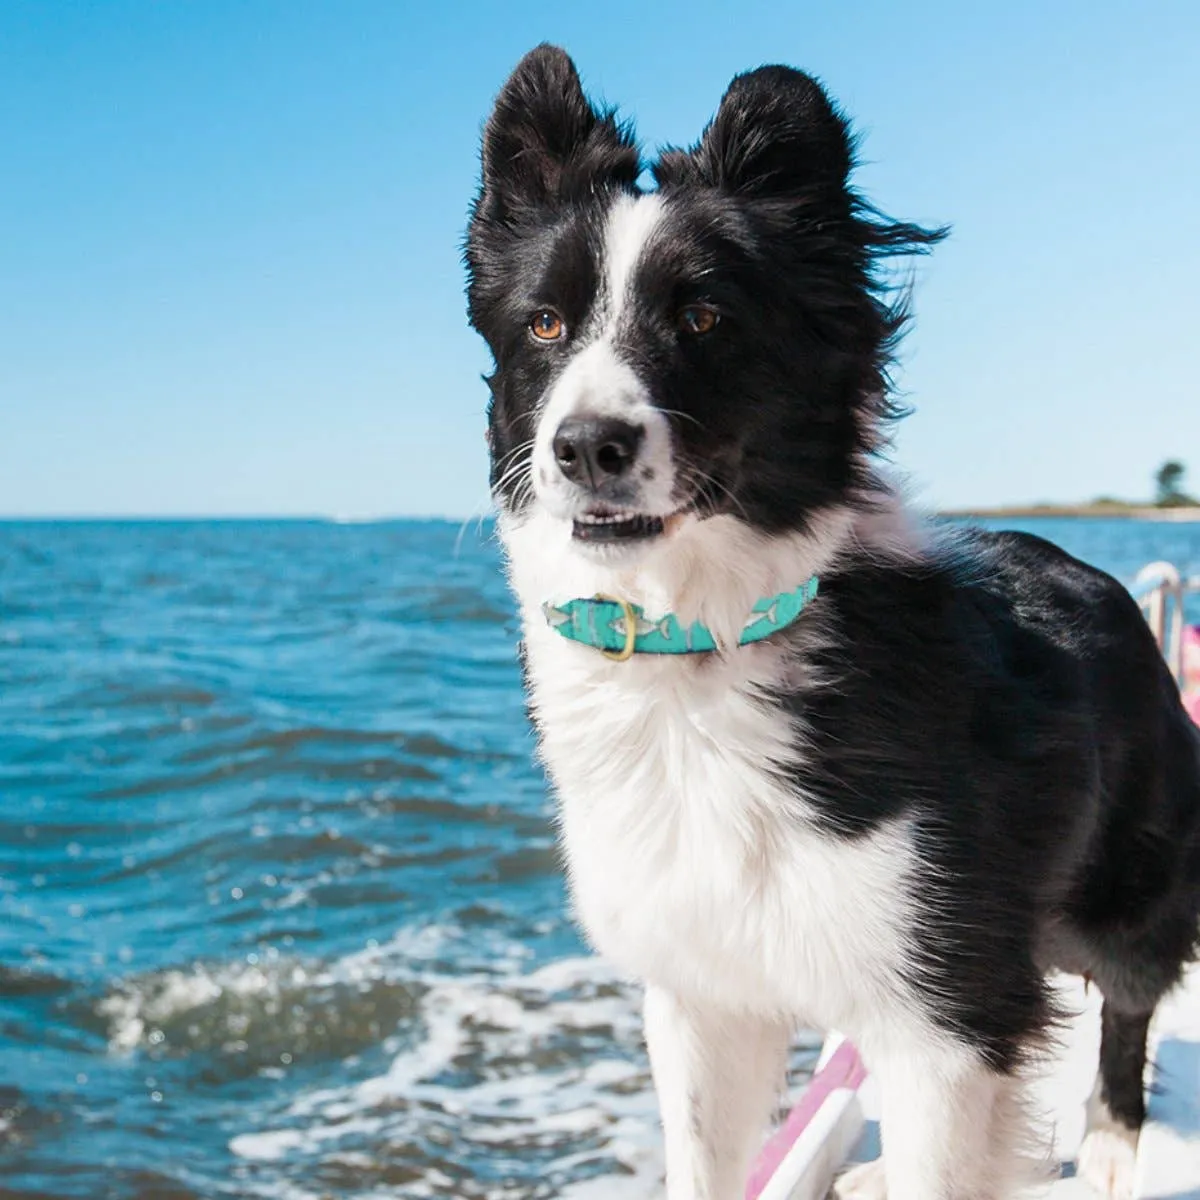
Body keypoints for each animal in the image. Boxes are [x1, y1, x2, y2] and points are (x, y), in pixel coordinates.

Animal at [463, 46, 1200, 1200]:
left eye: (704, 320)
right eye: (544, 324)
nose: (586, 447)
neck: (697, 647)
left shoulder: (944, 1010)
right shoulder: (703, 997)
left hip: (1125, 881)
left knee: (1130, 998)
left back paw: (1118, 1148)